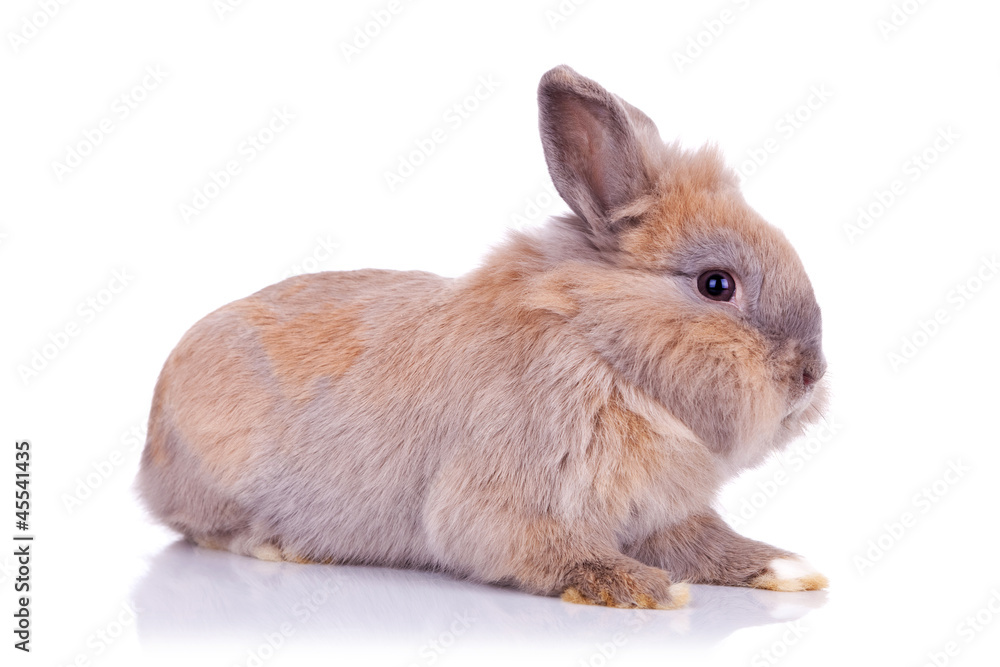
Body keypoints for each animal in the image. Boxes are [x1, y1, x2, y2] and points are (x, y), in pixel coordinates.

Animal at [137, 65, 829, 610]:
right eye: (716, 285)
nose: (811, 374)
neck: (602, 349)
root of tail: (153, 443)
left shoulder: (665, 513)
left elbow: (709, 543)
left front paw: (787, 568)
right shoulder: (507, 500)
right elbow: (553, 550)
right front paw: (644, 587)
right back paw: (281, 545)